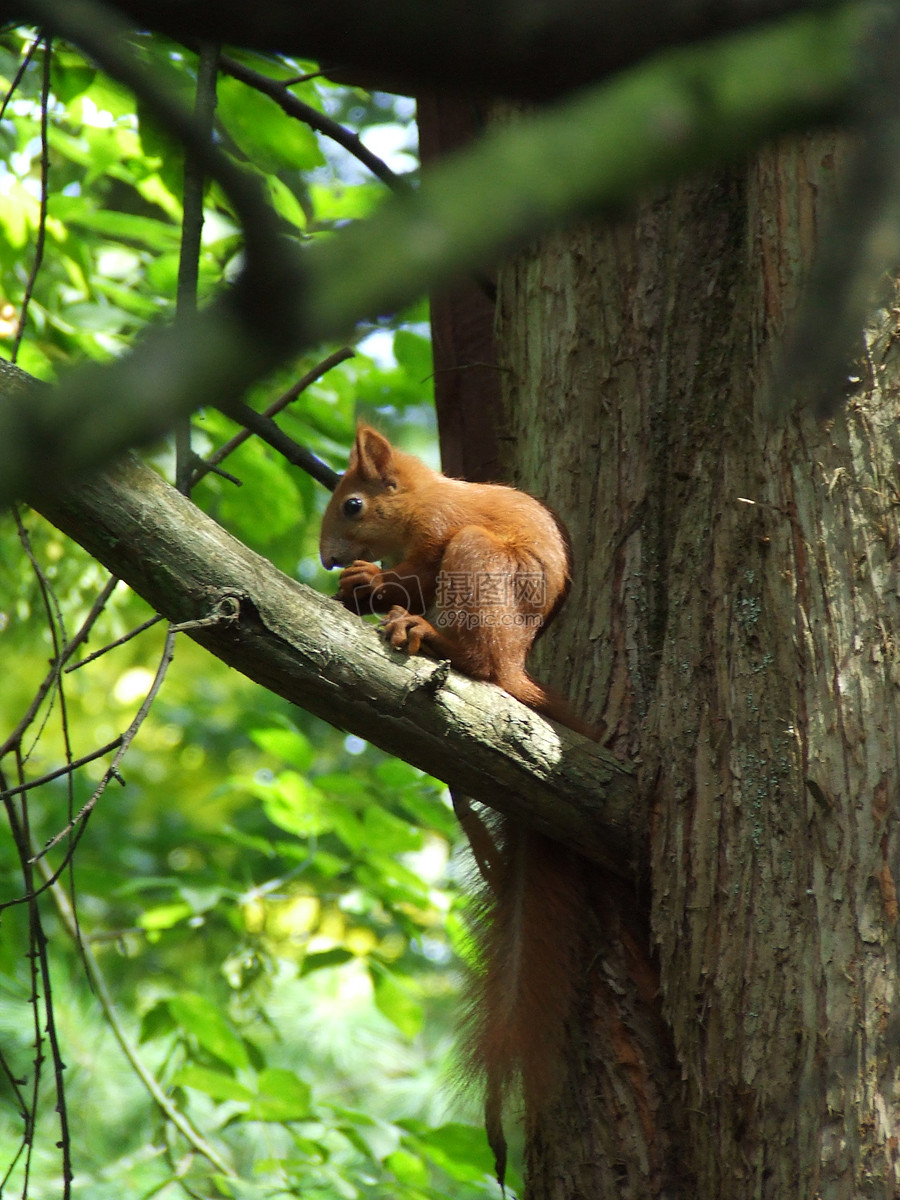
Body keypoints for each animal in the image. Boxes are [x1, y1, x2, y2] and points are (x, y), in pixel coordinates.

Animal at [321, 427, 588, 1185]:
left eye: (352, 504)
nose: (327, 558)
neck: (421, 498)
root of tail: (519, 668)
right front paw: (358, 586)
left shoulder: (442, 534)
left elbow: (416, 572)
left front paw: (374, 585)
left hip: (483, 567)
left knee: (478, 661)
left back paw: (427, 635)